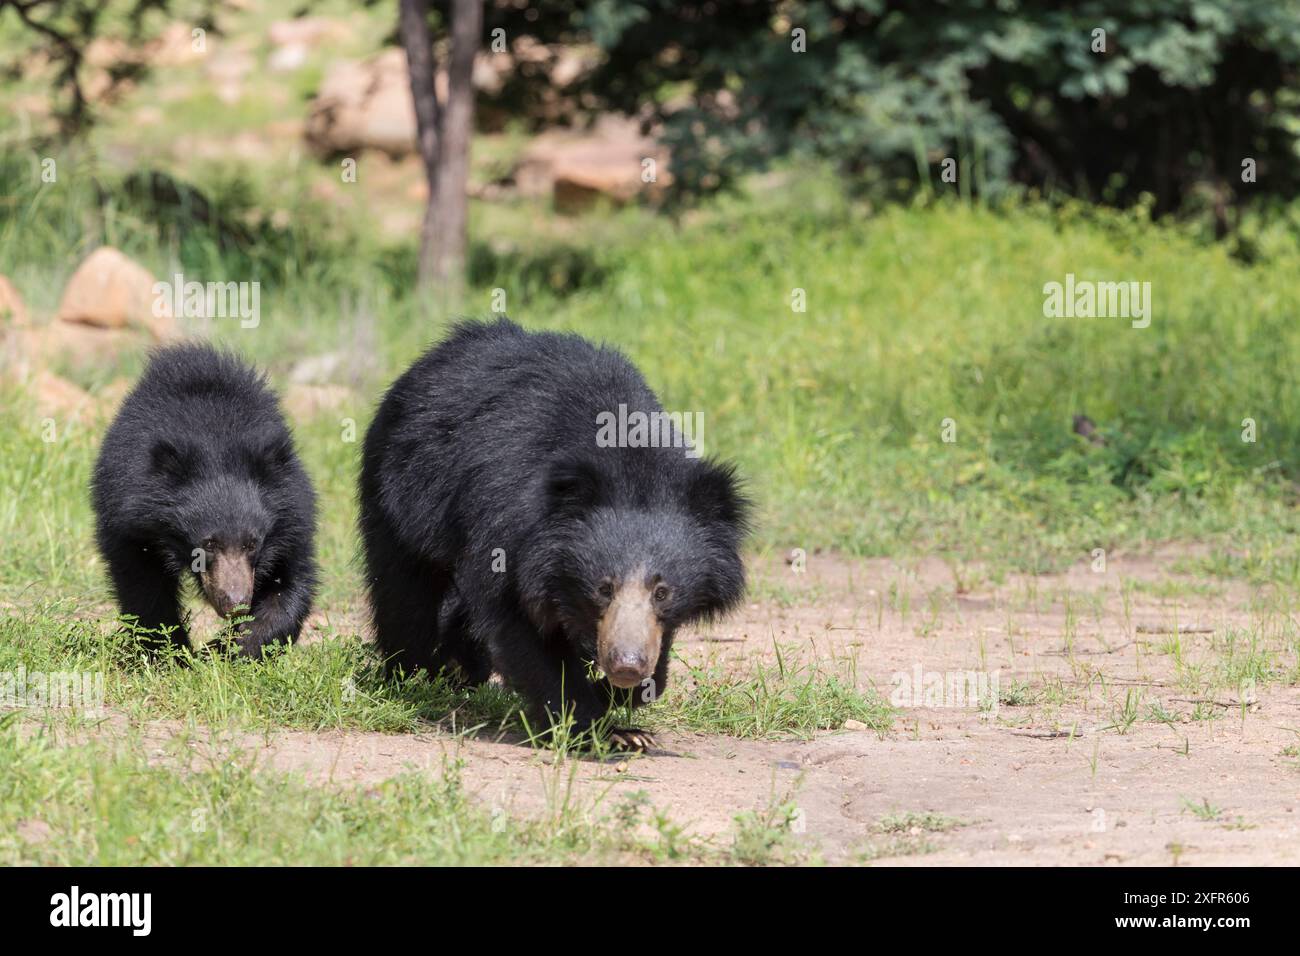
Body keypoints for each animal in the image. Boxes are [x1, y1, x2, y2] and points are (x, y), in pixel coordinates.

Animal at [93, 345, 317, 658]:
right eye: (209, 544)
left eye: (252, 544)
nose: (236, 604)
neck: (216, 447)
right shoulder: (130, 515)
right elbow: (143, 583)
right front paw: (173, 654)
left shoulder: (292, 516)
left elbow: (290, 584)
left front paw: (231, 649)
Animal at [358, 317, 754, 749]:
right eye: (603, 588)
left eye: (662, 592)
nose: (626, 665)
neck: (631, 467)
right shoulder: (507, 526)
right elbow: (522, 630)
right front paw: (606, 731)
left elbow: (656, 641)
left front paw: (625, 696)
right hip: (398, 496)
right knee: (404, 593)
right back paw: (418, 674)